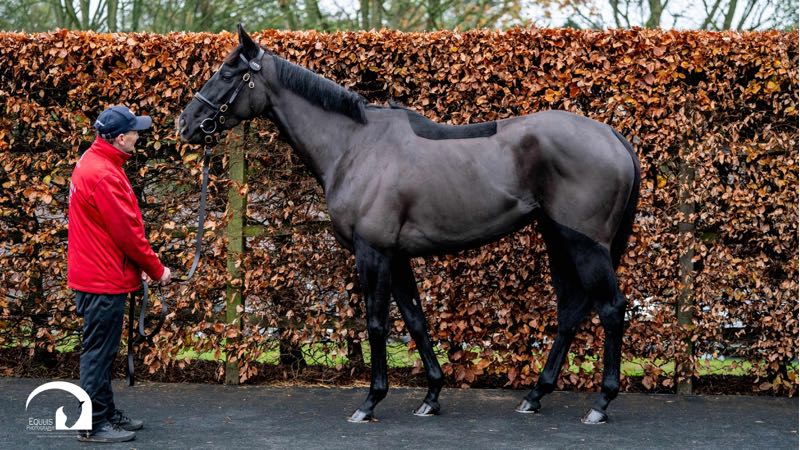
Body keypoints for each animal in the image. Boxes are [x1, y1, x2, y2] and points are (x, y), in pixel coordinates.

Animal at [179, 25, 641, 425]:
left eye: (226, 73)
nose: (186, 124)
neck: (355, 146)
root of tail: (612, 136)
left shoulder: (373, 253)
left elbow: (377, 323)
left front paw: (370, 401)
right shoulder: (396, 255)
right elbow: (416, 320)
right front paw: (431, 396)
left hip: (585, 244)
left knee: (611, 308)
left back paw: (600, 403)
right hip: (557, 238)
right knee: (571, 310)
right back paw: (535, 395)